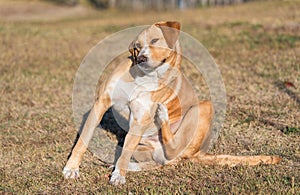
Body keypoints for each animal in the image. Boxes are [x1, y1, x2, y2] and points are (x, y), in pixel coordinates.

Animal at [62, 21, 282, 186]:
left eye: (155, 40)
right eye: (137, 47)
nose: (142, 58)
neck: (144, 77)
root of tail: (200, 153)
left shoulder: (140, 118)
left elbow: (124, 152)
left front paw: (118, 176)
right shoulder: (101, 104)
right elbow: (83, 141)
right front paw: (71, 168)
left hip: (204, 107)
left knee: (172, 151)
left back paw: (162, 118)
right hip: (142, 145)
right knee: (156, 161)